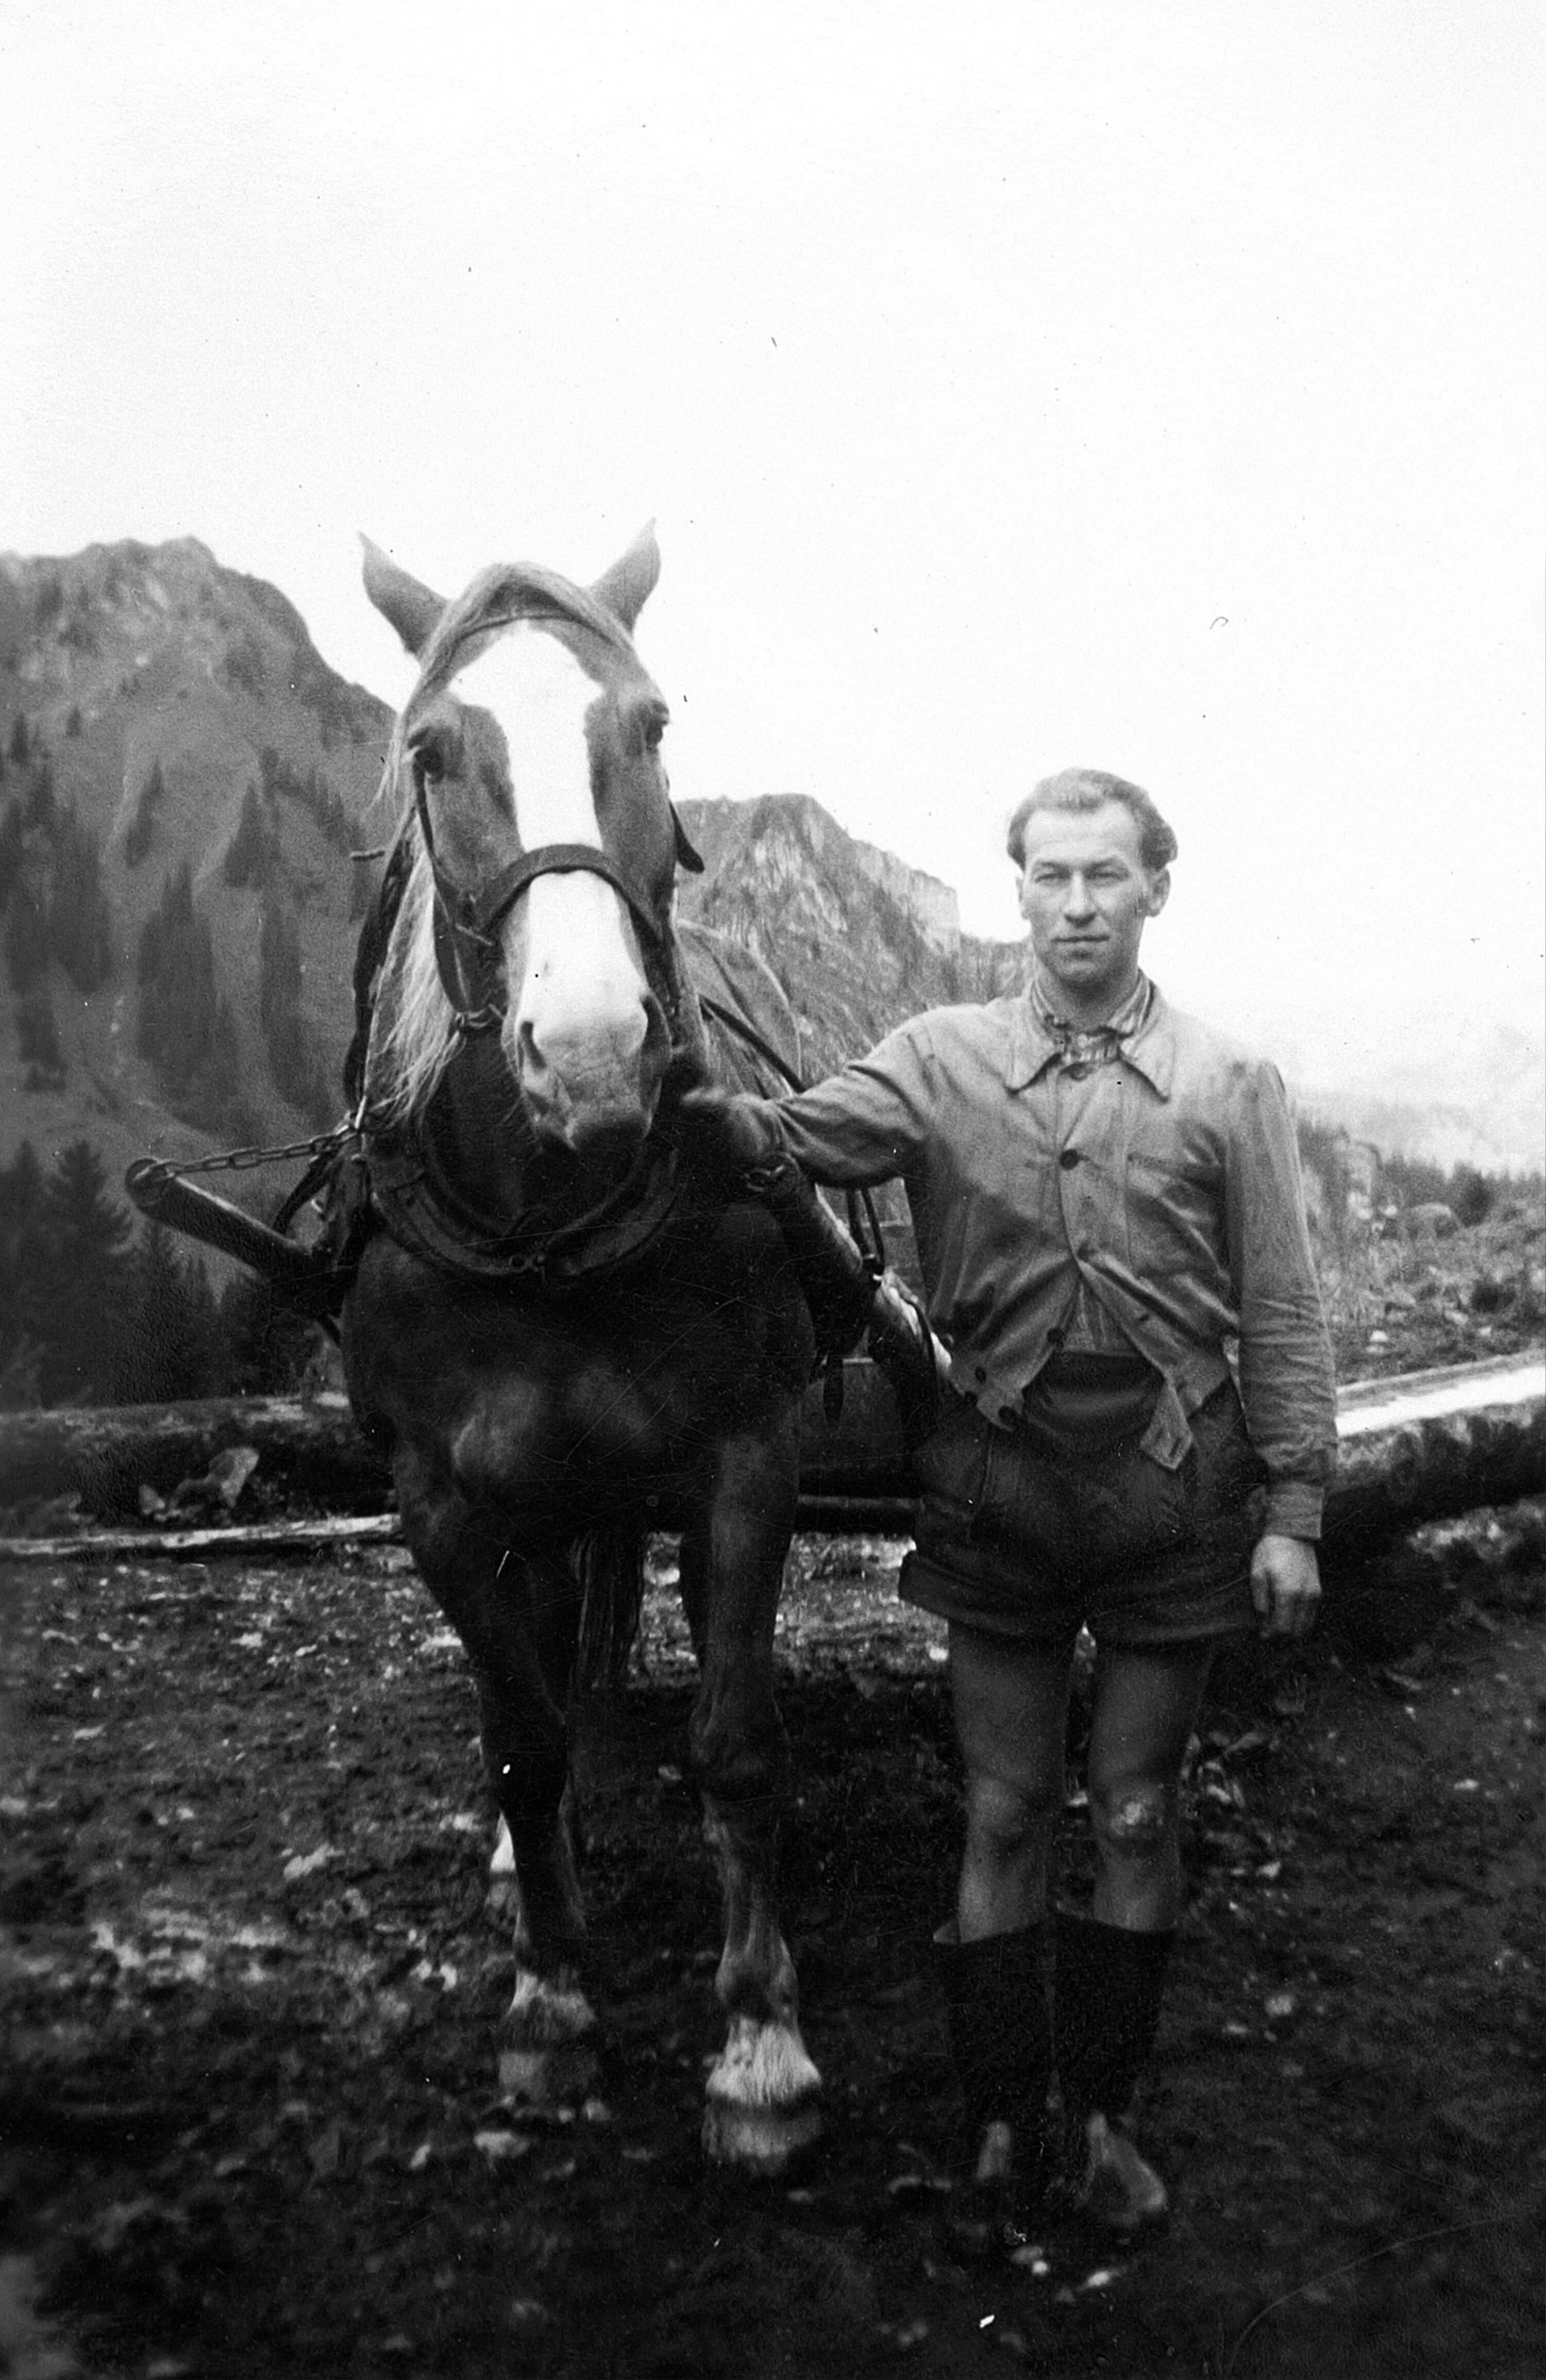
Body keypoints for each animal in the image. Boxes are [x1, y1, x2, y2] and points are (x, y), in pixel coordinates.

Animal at [339, 526, 825, 2174]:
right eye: (433, 750)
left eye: (651, 724)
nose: (602, 1050)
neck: (549, 1227)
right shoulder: (439, 1499)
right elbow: (523, 1741)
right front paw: (548, 2003)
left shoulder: (746, 1457)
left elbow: (737, 1743)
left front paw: (759, 2045)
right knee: (541, 1663)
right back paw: (519, 1862)